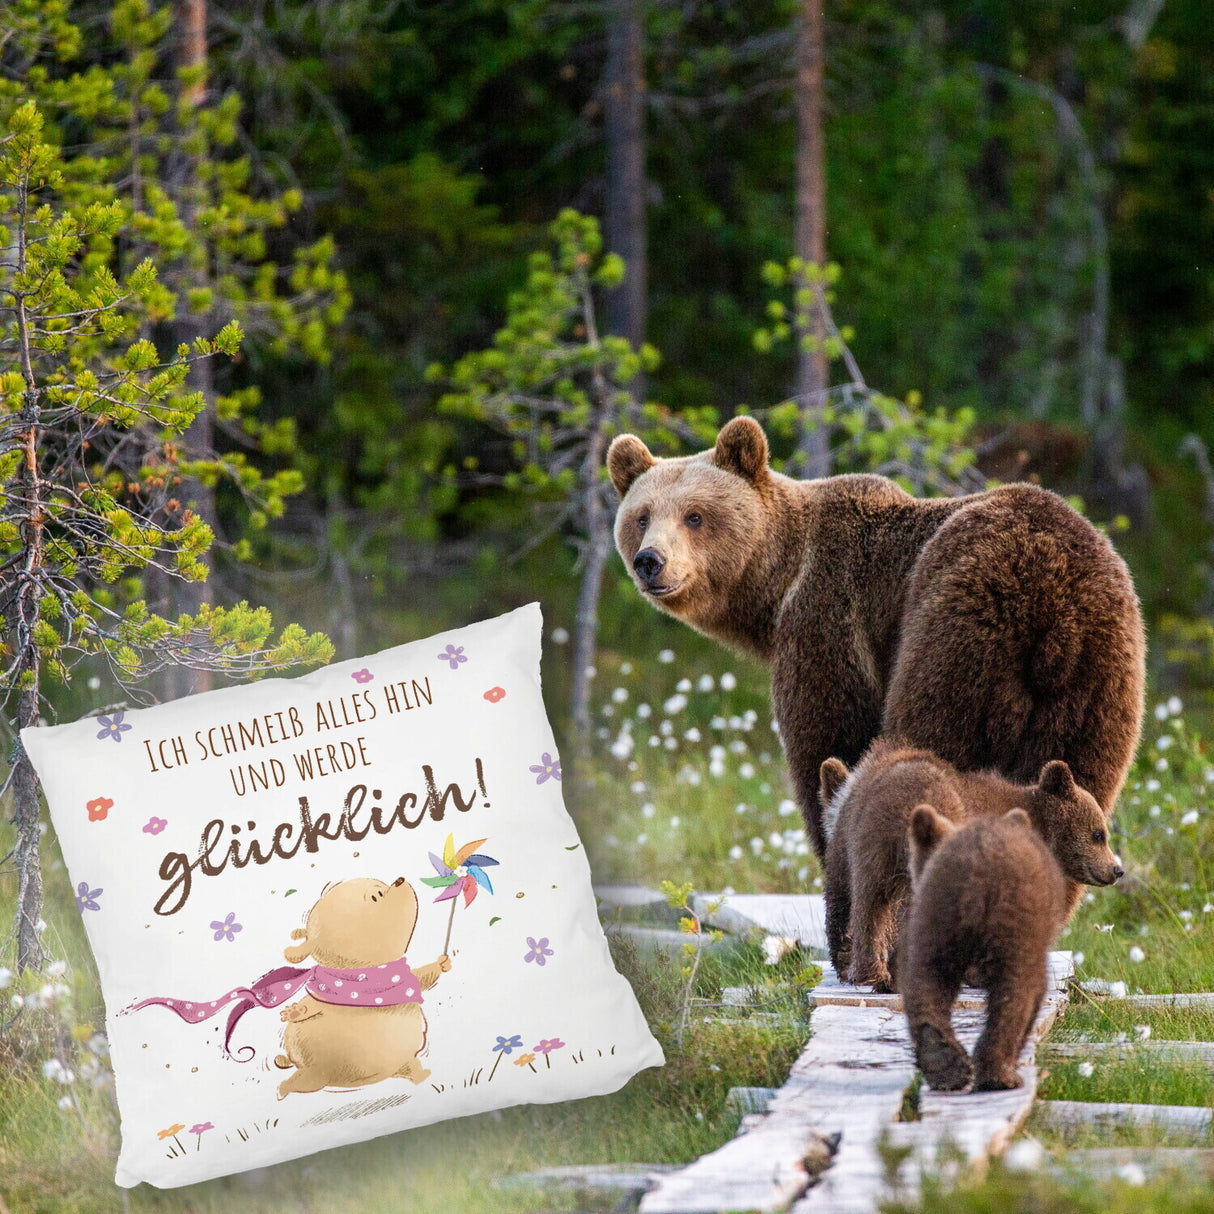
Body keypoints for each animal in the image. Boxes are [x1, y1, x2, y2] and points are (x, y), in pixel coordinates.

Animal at [273, 876, 451, 1099]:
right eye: (377, 895)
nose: (400, 880)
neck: (368, 975)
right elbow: (311, 1006)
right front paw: (294, 1011)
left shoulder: (413, 978)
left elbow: (425, 976)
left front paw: (443, 963)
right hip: (315, 1076)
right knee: (300, 1083)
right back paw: (283, 1088)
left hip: (400, 1063)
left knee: (411, 1068)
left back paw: (422, 1076)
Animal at [607, 416, 1145, 862]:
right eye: (642, 516)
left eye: (695, 515)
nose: (650, 561)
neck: (777, 586)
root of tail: (1055, 606)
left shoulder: (830, 618)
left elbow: (830, 738)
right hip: (1098, 682)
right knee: (1079, 783)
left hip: (961, 633)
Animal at [900, 805, 1082, 1091]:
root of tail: (977, 865)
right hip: (1017, 922)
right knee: (1017, 990)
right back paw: (999, 1075)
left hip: (937, 916)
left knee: (927, 980)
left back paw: (944, 1065)